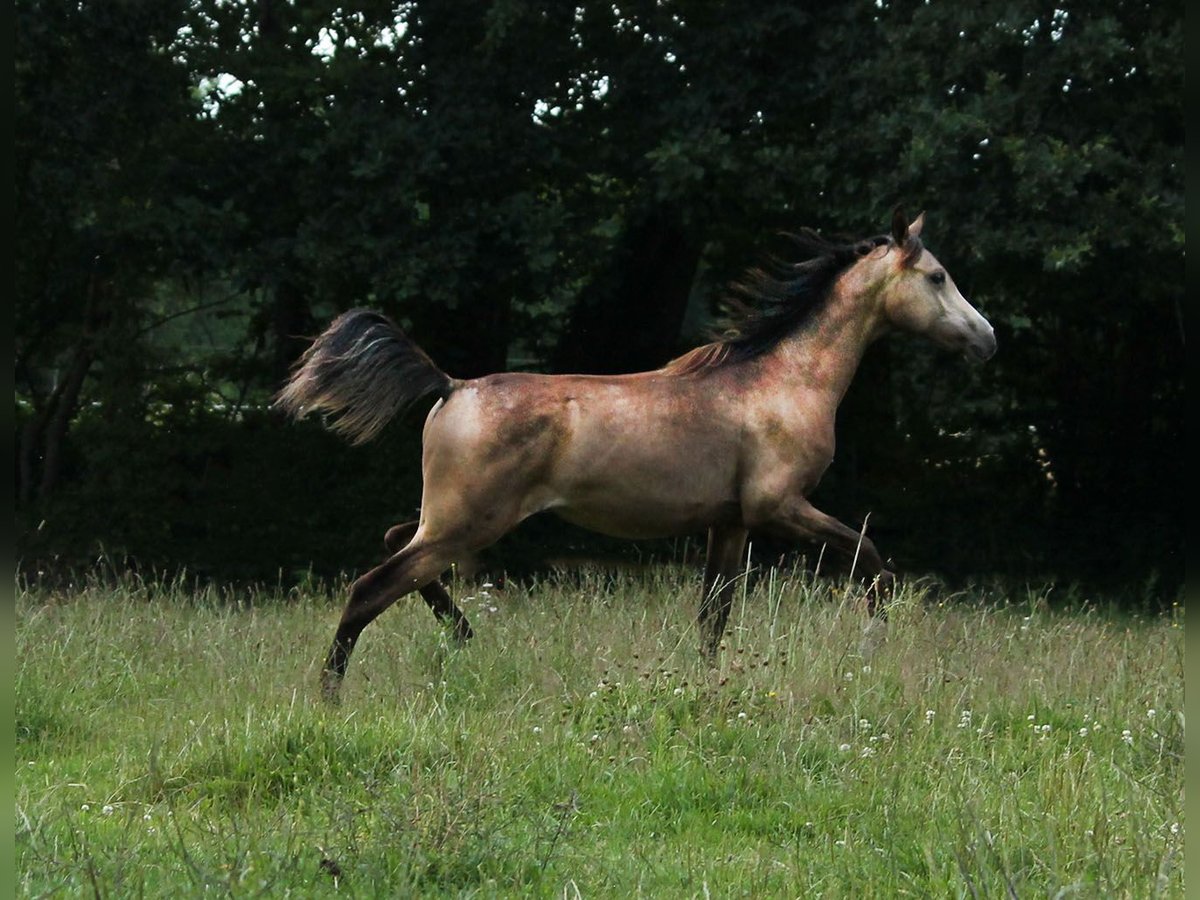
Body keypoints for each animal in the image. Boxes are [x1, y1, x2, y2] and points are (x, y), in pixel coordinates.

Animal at [278, 207, 993, 700]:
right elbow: (872, 561)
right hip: (468, 522)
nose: (987, 340)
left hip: (454, 519)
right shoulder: (780, 506)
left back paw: (463, 635)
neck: (783, 381)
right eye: (937, 276)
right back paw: (332, 697)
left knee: (397, 546)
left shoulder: (731, 522)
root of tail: (450, 385)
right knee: (370, 589)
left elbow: (713, 617)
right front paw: (871, 645)